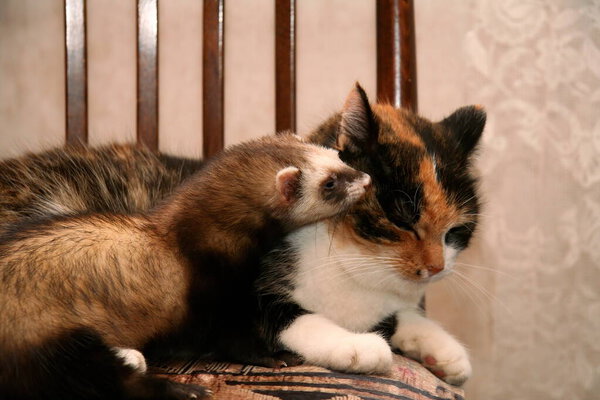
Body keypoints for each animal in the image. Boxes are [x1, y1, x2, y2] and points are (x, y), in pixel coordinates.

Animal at [0, 135, 370, 400]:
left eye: (336, 155)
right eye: (330, 183)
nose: (366, 179)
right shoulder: (214, 299)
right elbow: (235, 341)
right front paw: (273, 356)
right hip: (56, 341)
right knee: (108, 382)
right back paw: (183, 388)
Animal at [255, 83, 486, 384]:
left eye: (456, 230)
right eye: (402, 217)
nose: (437, 267)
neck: (348, 261)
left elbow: (396, 316)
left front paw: (444, 349)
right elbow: (289, 318)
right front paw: (355, 345)